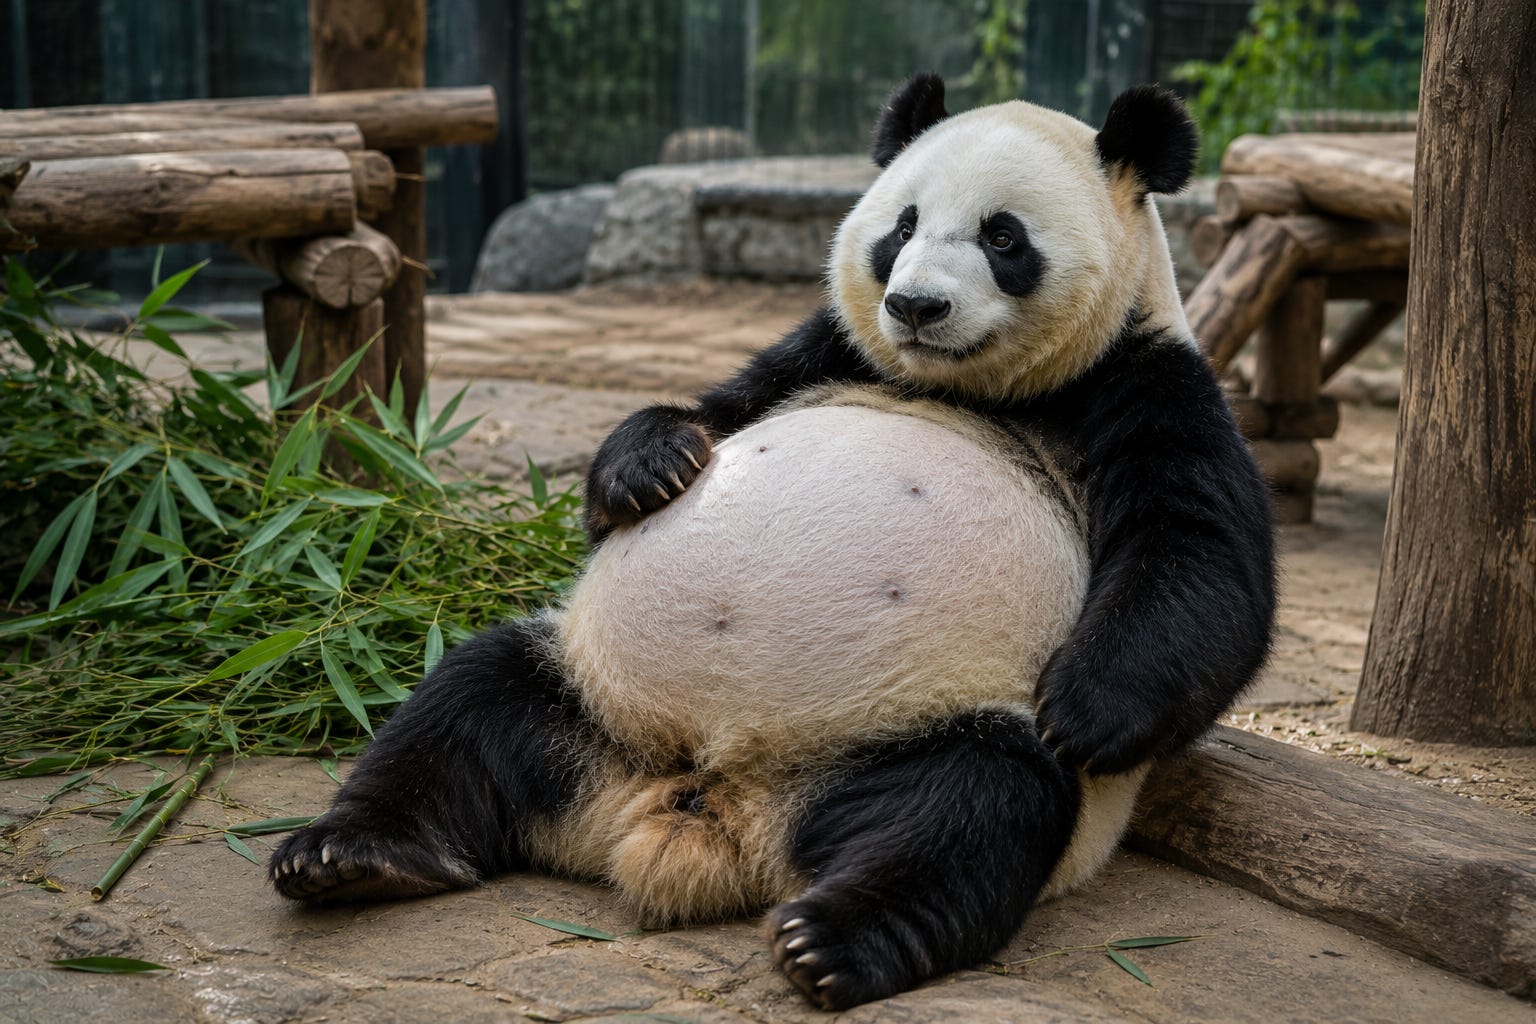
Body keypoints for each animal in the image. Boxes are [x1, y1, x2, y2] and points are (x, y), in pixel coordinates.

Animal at [271, 74, 1275, 1011]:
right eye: (902, 226)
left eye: (1003, 238)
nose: (915, 307)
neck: (966, 385)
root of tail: (705, 806)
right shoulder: (825, 354)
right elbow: (712, 412)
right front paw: (646, 467)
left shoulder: (1146, 382)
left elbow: (1204, 569)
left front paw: (1084, 711)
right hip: (590, 692)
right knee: (465, 700)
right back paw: (350, 855)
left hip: (912, 728)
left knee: (973, 804)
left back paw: (828, 941)